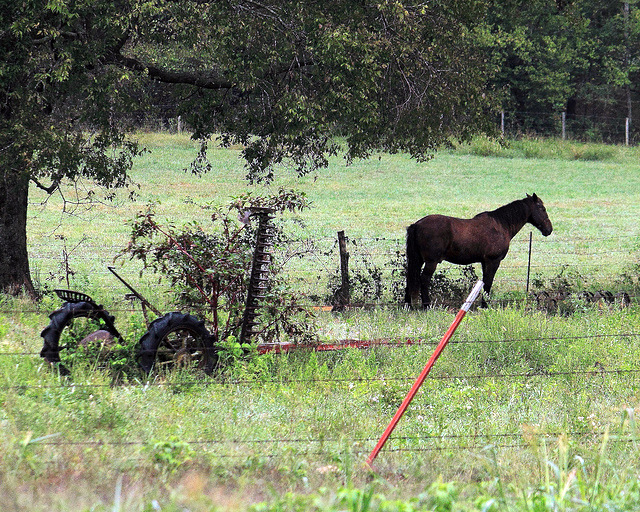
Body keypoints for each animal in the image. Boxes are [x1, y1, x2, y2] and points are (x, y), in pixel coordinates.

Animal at [408, 195, 552, 308]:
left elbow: (484, 283)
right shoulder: (493, 261)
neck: (501, 225)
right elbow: (488, 283)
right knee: (424, 280)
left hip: (418, 260)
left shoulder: (484, 262)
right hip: (431, 262)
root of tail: (417, 224)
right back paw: (426, 306)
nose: (549, 229)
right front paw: (485, 305)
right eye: (542, 208)